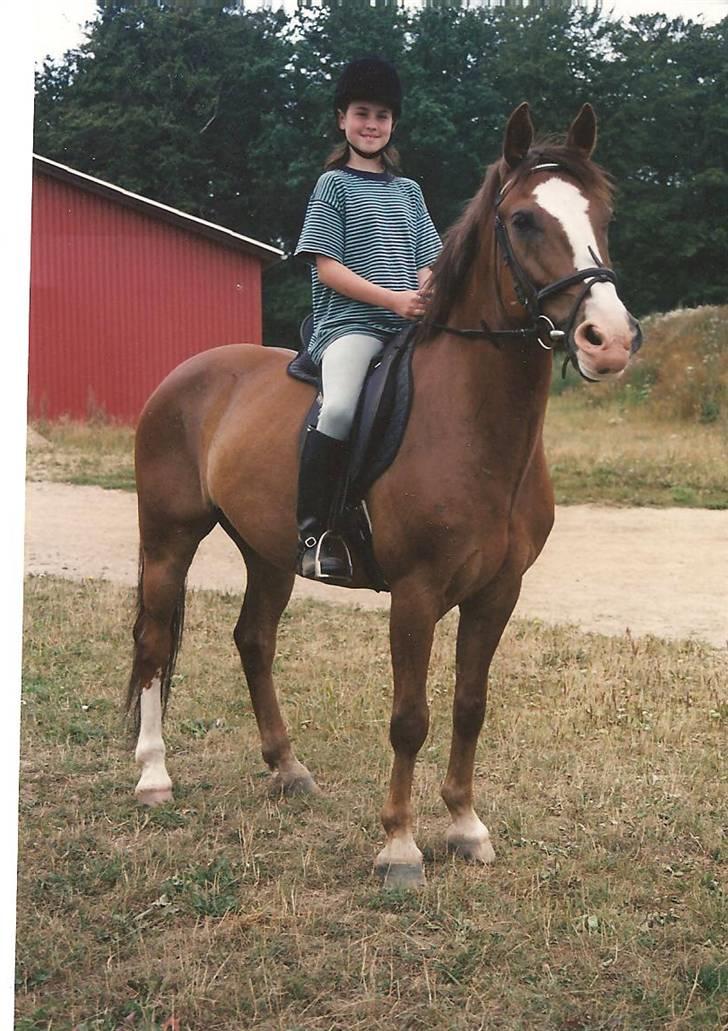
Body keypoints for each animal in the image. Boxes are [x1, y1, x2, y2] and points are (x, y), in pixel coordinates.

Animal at [127, 106, 639, 894]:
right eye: (523, 219)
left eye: (603, 216)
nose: (608, 339)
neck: (472, 422)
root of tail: (186, 374)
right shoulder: (417, 593)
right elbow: (410, 716)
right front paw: (399, 846)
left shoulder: (498, 592)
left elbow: (469, 705)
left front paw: (465, 826)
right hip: (168, 537)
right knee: (155, 642)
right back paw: (154, 776)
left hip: (268, 551)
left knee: (254, 640)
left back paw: (288, 767)